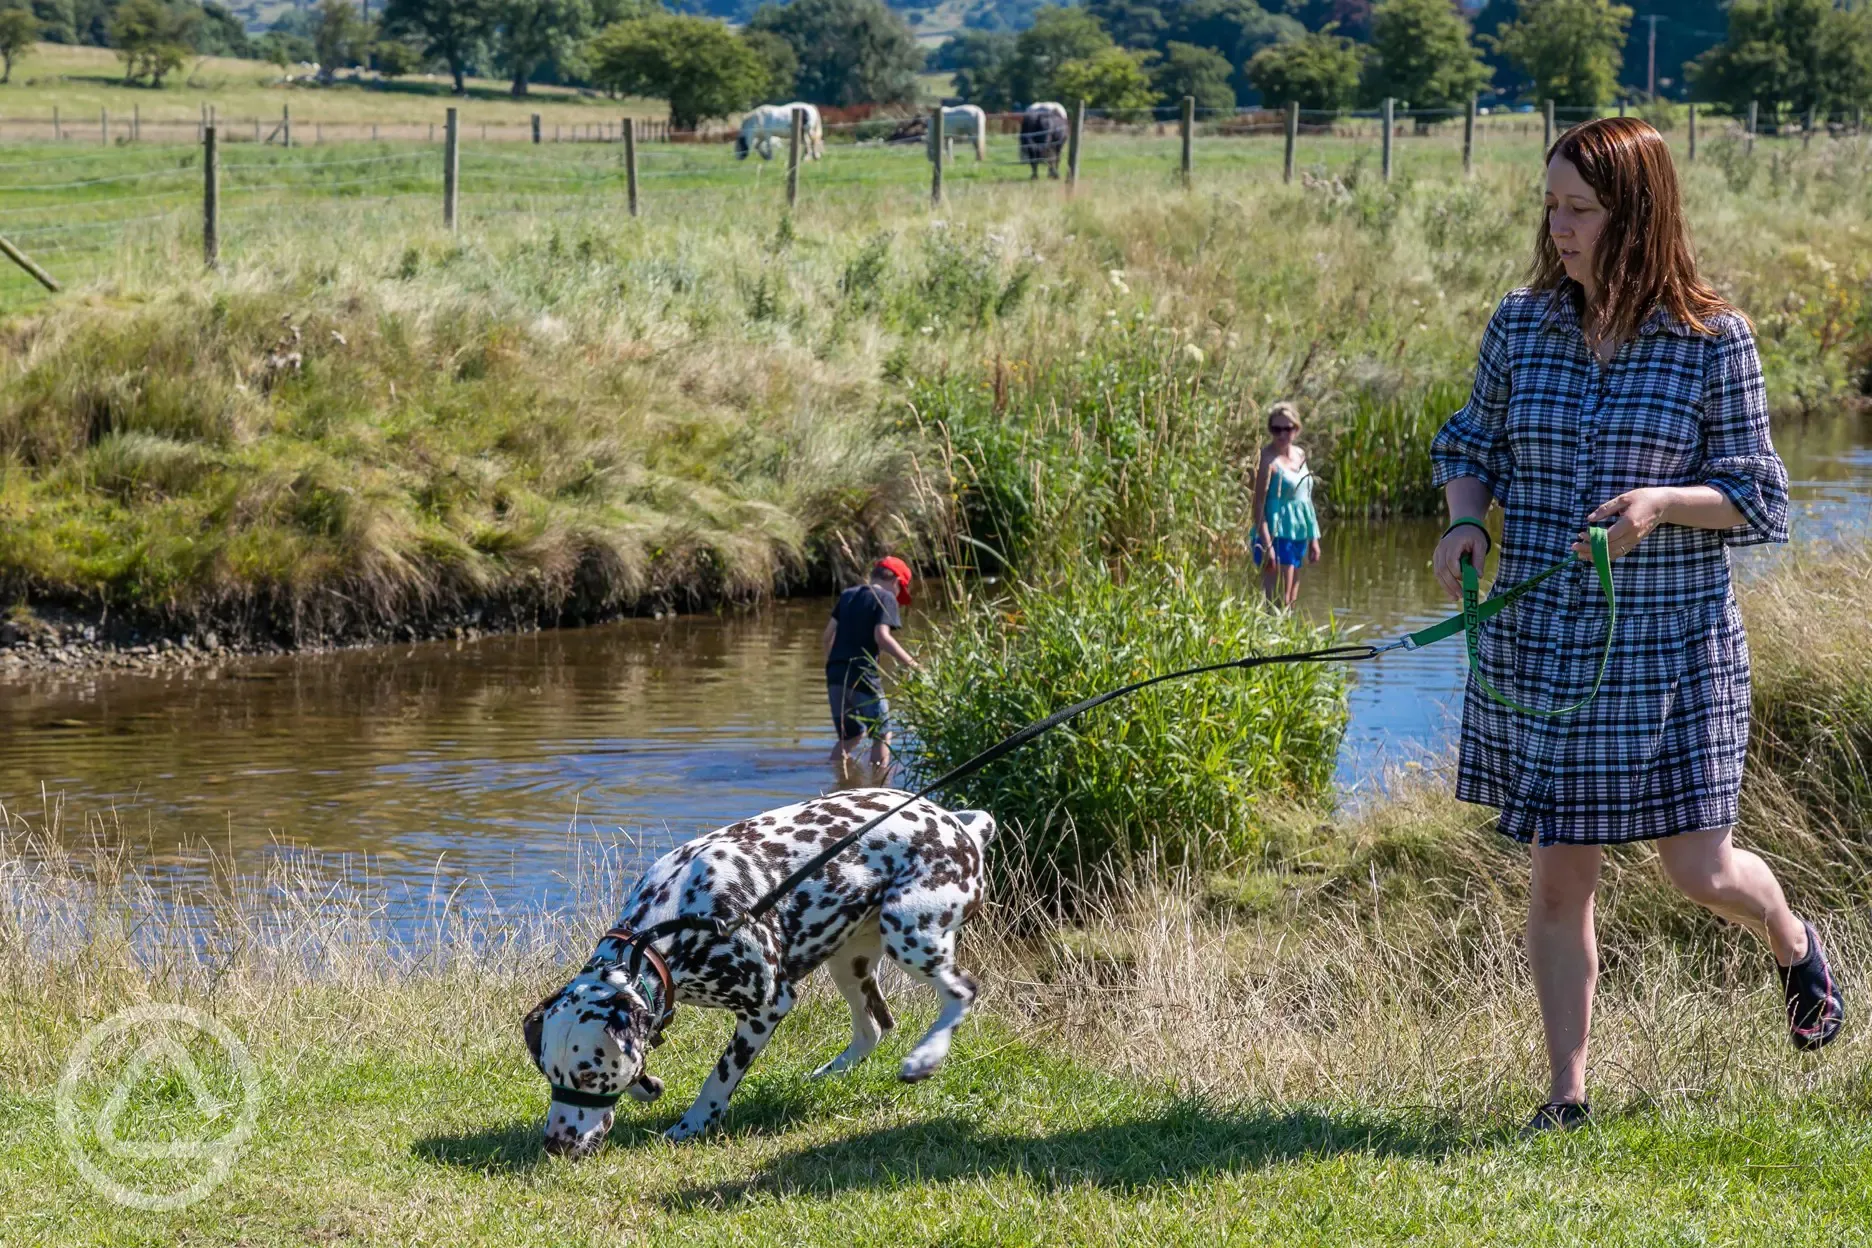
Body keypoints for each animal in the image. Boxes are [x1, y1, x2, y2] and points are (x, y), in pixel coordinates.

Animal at [524, 789, 995, 1160]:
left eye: (589, 1075)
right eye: (549, 1073)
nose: (555, 1145)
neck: (672, 923)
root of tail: (961, 826)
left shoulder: (766, 1007)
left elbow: (719, 1077)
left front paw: (693, 1123)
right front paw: (646, 1085)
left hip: (909, 935)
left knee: (963, 991)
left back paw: (925, 1057)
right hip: (849, 963)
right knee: (875, 1027)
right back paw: (828, 1075)